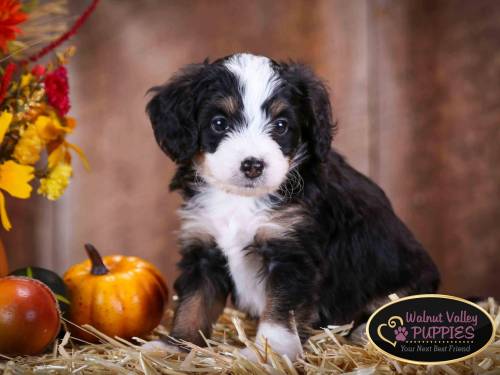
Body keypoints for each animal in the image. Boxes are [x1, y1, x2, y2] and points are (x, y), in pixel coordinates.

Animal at [144, 53, 438, 362]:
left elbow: (280, 312)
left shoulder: (291, 255)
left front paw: (269, 354)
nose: (253, 165)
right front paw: (174, 347)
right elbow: (193, 305)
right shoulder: (203, 249)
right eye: (219, 123)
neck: (241, 200)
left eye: (281, 125)